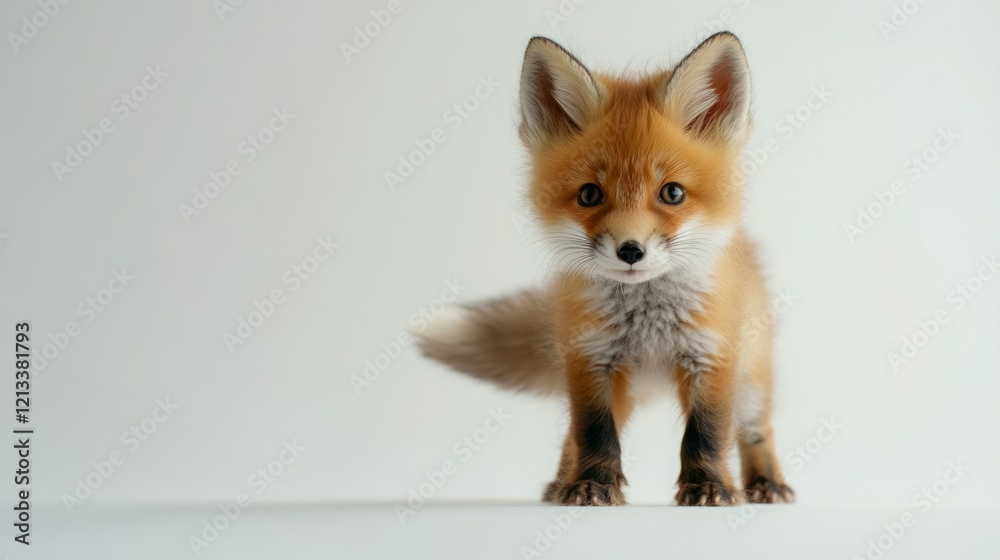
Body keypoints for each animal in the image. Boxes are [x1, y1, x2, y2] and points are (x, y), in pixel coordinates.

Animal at [418, 32, 794, 507]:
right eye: (589, 195)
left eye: (672, 193)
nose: (630, 251)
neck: (648, 323)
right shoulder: (589, 357)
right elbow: (594, 433)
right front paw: (591, 485)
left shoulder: (712, 354)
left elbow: (706, 433)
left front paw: (708, 487)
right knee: (572, 437)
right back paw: (561, 482)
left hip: (751, 379)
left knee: (755, 429)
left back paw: (767, 484)